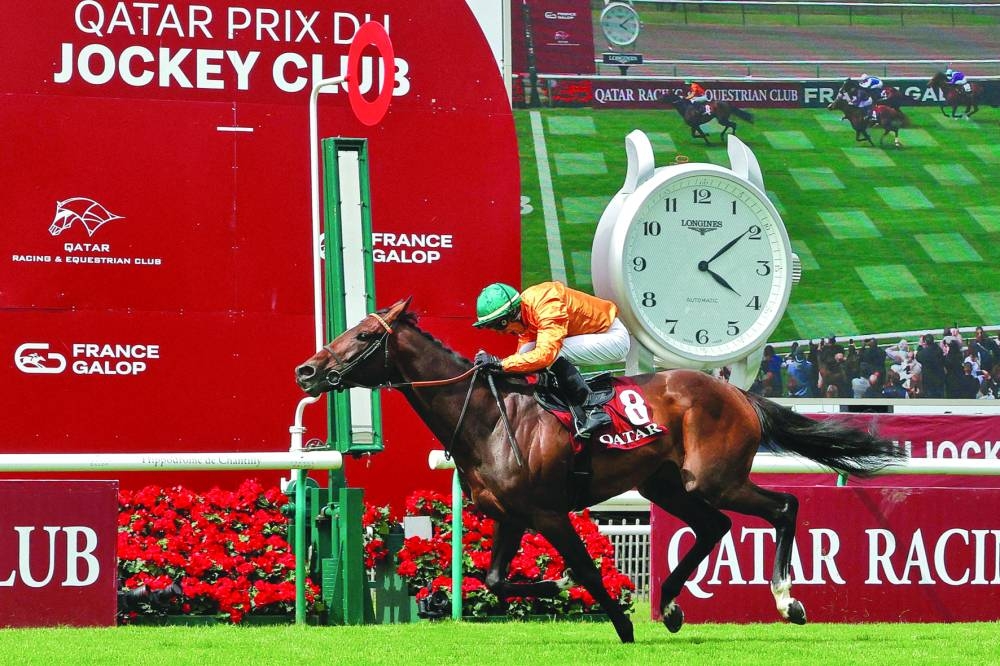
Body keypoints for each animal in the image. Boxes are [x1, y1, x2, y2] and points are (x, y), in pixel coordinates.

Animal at [295, 298, 905, 643]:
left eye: (363, 336)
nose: (307, 369)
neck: (489, 417)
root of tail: (735, 391)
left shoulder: (548, 512)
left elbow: (587, 572)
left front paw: (621, 622)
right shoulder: (510, 515)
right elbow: (494, 580)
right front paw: (544, 586)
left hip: (715, 478)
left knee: (782, 506)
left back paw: (786, 601)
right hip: (663, 482)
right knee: (713, 525)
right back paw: (673, 606)